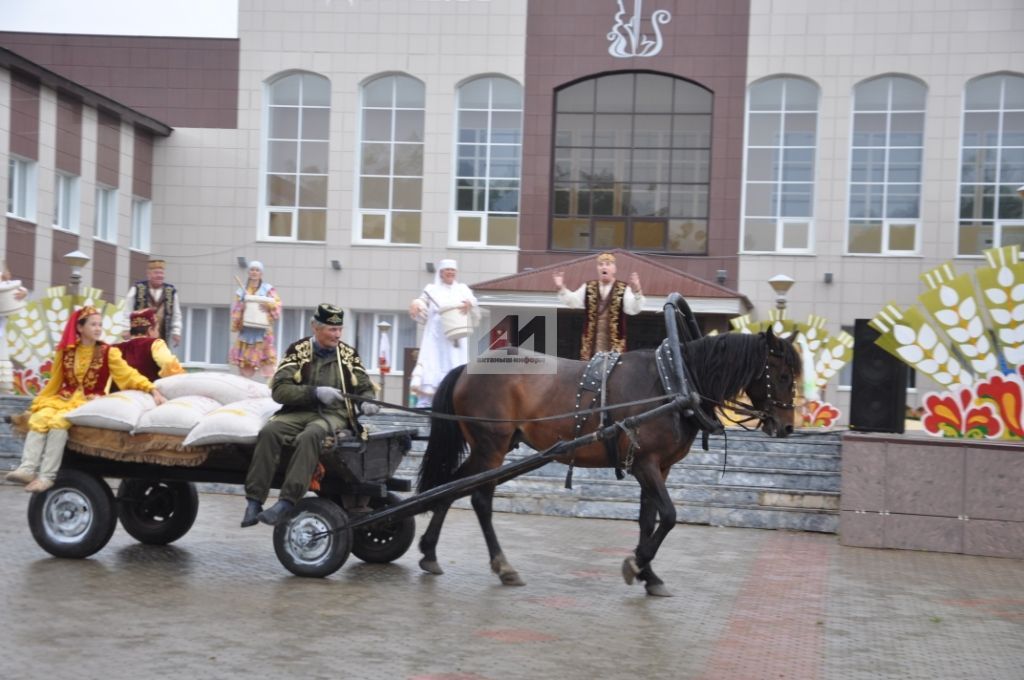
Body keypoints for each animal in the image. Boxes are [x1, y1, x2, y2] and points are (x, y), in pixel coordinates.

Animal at [415, 327, 798, 593]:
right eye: (782, 375)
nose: (788, 426)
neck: (672, 382)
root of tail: (467, 367)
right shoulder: (644, 463)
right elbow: (669, 516)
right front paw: (636, 564)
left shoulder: (659, 467)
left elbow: (648, 520)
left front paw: (650, 575)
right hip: (490, 446)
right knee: (479, 498)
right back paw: (503, 566)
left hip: (491, 448)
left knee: (451, 486)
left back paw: (430, 553)